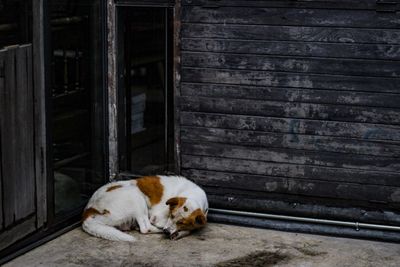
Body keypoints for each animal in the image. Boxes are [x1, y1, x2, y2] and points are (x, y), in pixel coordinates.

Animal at [80, 176, 208, 243]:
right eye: (171, 215)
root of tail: (88, 211)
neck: (193, 194)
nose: (166, 232)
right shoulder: (156, 217)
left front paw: (179, 233)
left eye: (182, 222)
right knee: (145, 228)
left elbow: (192, 228)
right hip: (135, 195)